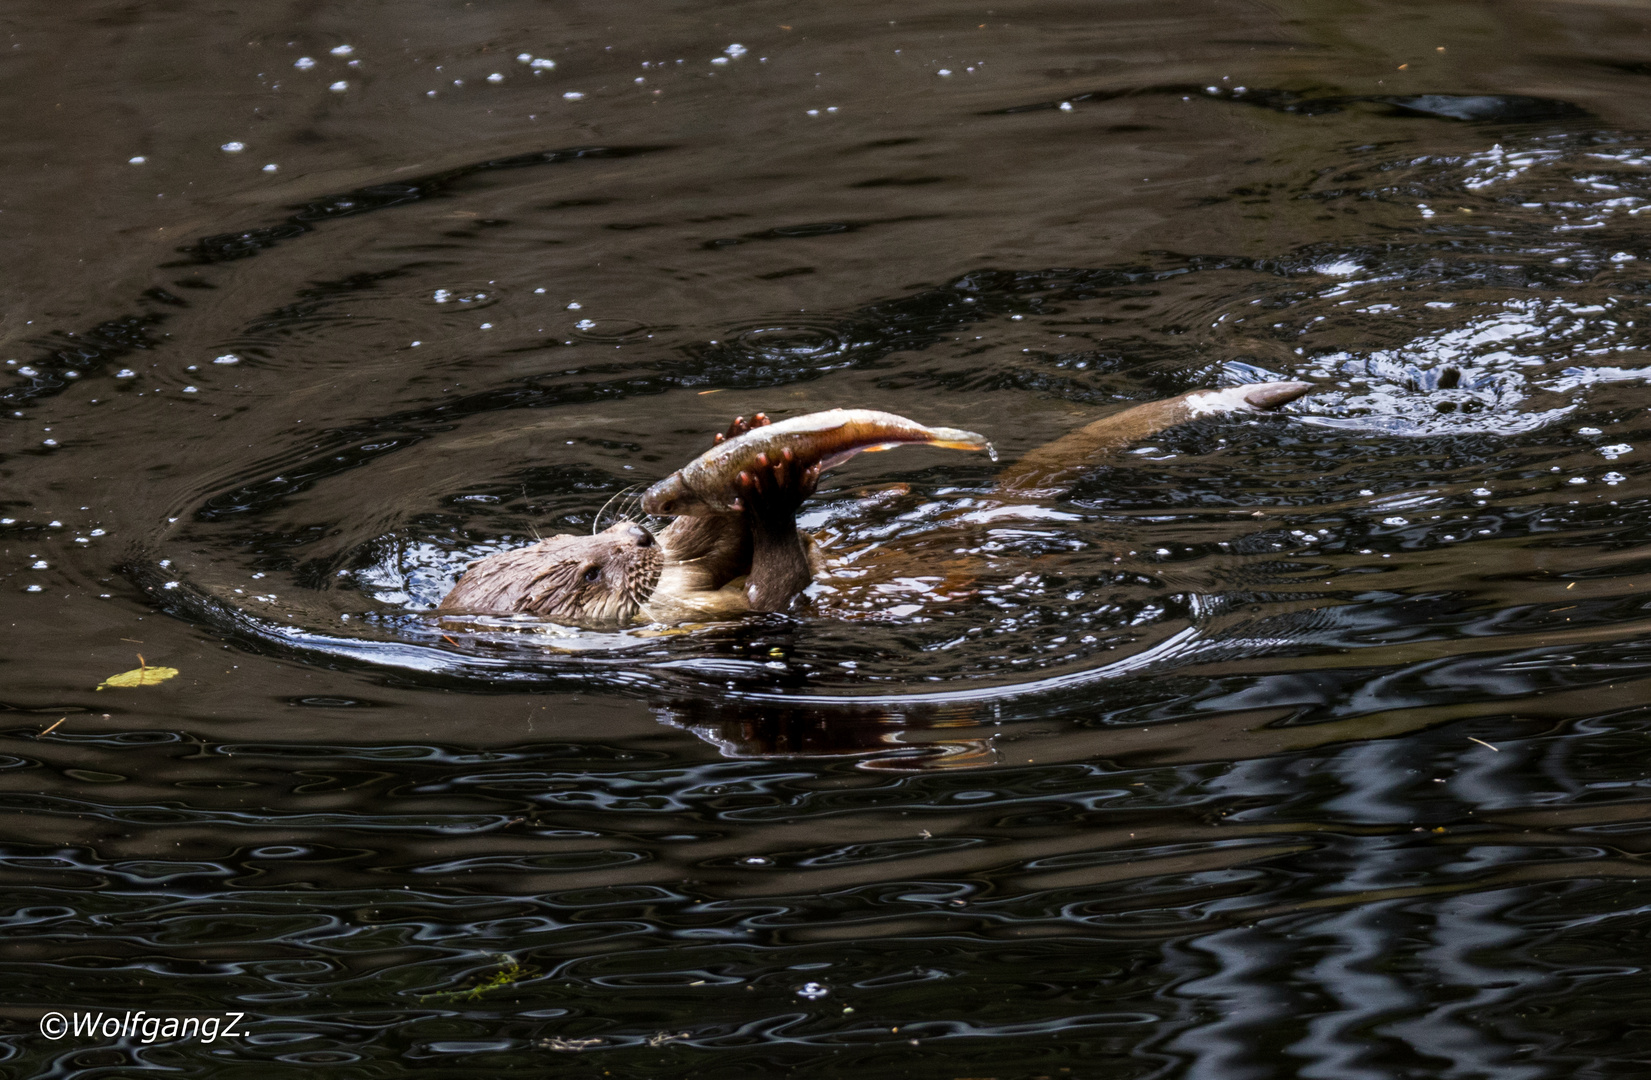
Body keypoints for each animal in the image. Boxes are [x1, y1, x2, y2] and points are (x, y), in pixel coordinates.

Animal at [439, 384, 1314, 630]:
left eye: (609, 535)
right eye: (591, 573)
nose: (638, 534)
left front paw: (740, 442)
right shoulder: (725, 619)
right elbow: (778, 588)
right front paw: (769, 490)